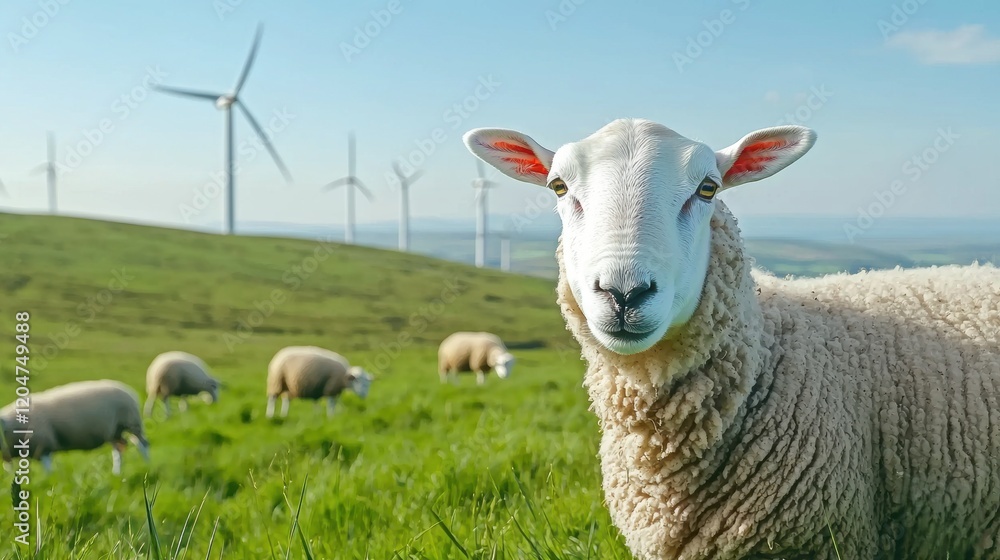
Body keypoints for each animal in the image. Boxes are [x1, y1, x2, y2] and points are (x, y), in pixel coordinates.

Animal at [0, 380, 150, 476]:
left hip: (132, 422)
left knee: (143, 444)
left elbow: (47, 470)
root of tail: (128, 390)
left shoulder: (43, 444)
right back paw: (116, 473)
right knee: (119, 449)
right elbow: (9, 468)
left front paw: (49, 481)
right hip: (114, 431)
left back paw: (147, 465)